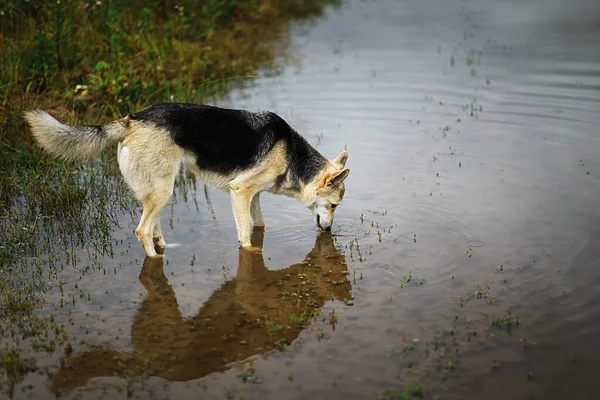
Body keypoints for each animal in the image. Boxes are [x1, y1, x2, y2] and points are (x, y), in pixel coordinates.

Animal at [24, 103, 352, 258]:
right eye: (335, 205)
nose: (329, 232)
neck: (292, 155)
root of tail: (131, 120)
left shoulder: (253, 196)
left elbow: (258, 225)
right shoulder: (240, 191)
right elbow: (245, 236)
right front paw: (250, 252)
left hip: (158, 189)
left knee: (152, 226)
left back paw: (164, 246)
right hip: (163, 187)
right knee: (142, 230)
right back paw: (155, 260)